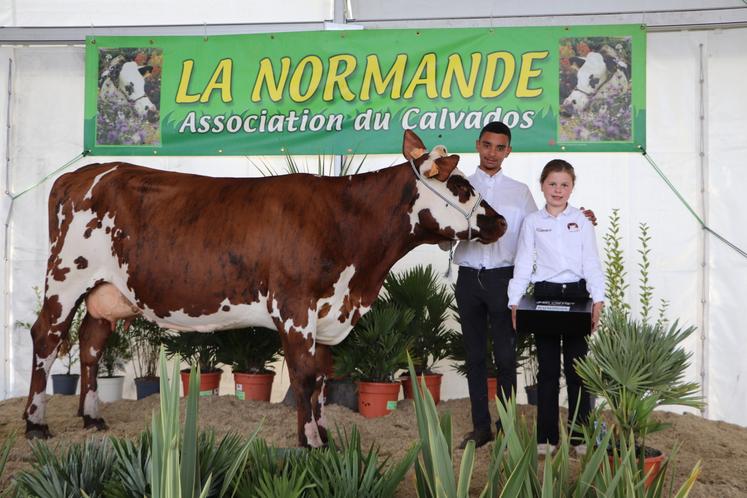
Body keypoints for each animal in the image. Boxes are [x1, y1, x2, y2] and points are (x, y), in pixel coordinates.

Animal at [21, 130, 508, 446]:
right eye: (461, 185)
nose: (501, 222)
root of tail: (81, 174)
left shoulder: (327, 313)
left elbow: (322, 377)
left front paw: (322, 433)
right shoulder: (295, 306)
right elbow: (306, 376)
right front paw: (310, 441)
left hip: (105, 290)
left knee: (90, 344)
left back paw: (91, 419)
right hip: (65, 277)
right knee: (46, 338)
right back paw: (35, 424)